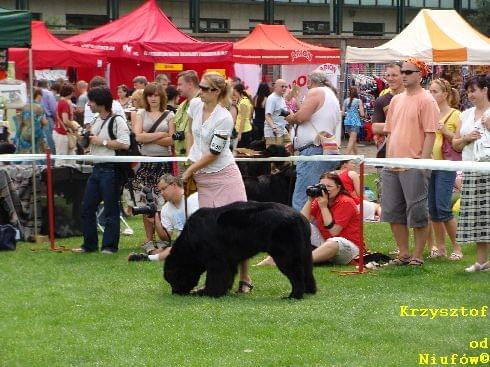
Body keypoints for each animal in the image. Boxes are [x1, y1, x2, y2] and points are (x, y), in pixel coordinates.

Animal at [165, 201, 316, 300]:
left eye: (173, 280)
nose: (175, 293)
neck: (191, 241)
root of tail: (300, 218)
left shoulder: (216, 261)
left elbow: (215, 278)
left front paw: (208, 292)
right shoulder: (229, 261)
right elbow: (227, 277)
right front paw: (223, 291)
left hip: (285, 255)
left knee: (297, 274)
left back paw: (294, 295)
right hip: (305, 253)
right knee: (308, 272)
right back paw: (309, 291)